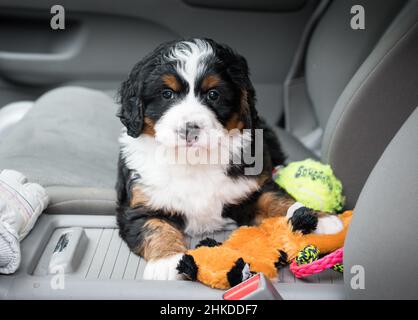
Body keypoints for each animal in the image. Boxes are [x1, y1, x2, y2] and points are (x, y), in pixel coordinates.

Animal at [116, 38, 342, 280]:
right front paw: (167, 261)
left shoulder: (250, 188)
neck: (193, 160)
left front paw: (320, 219)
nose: (189, 129)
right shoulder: (139, 205)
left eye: (213, 95)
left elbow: (276, 200)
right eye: (167, 94)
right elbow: (156, 227)